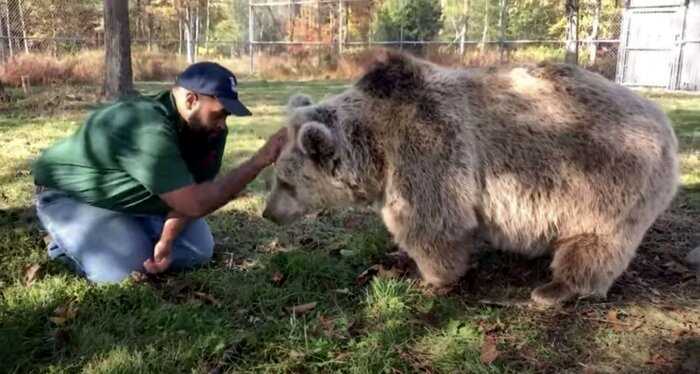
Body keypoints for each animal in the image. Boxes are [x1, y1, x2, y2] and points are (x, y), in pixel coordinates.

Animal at [262, 51, 680, 306]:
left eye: (286, 182)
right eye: (276, 177)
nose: (268, 213)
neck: (376, 149)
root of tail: (663, 122)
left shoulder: (428, 151)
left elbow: (431, 224)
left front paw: (432, 275)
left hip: (602, 179)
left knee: (594, 242)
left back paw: (556, 289)